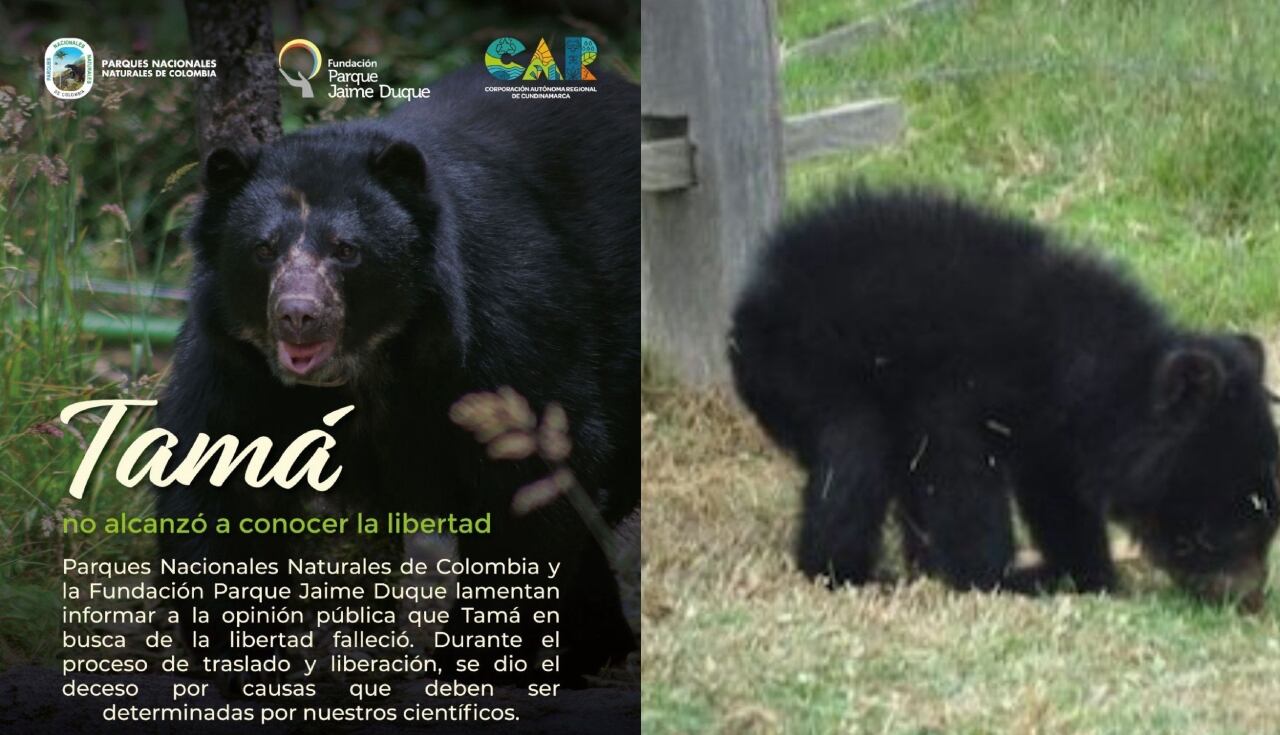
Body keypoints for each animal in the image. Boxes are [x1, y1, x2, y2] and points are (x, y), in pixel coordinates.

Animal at [155, 66, 638, 694]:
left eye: (346, 250)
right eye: (263, 249)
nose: (298, 315)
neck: (365, 361)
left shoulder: (507, 324)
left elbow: (533, 474)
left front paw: (483, 663)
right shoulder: (235, 362)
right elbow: (218, 475)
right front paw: (250, 660)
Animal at [729, 188, 1280, 609]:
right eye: (1233, 523)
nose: (1249, 599)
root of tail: (747, 301)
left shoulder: (1052, 432)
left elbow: (1058, 497)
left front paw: (1082, 572)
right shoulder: (965, 388)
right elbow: (962, 475)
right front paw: (1000, 577)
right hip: (815, 367)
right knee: (855, 458)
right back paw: (852, 572)